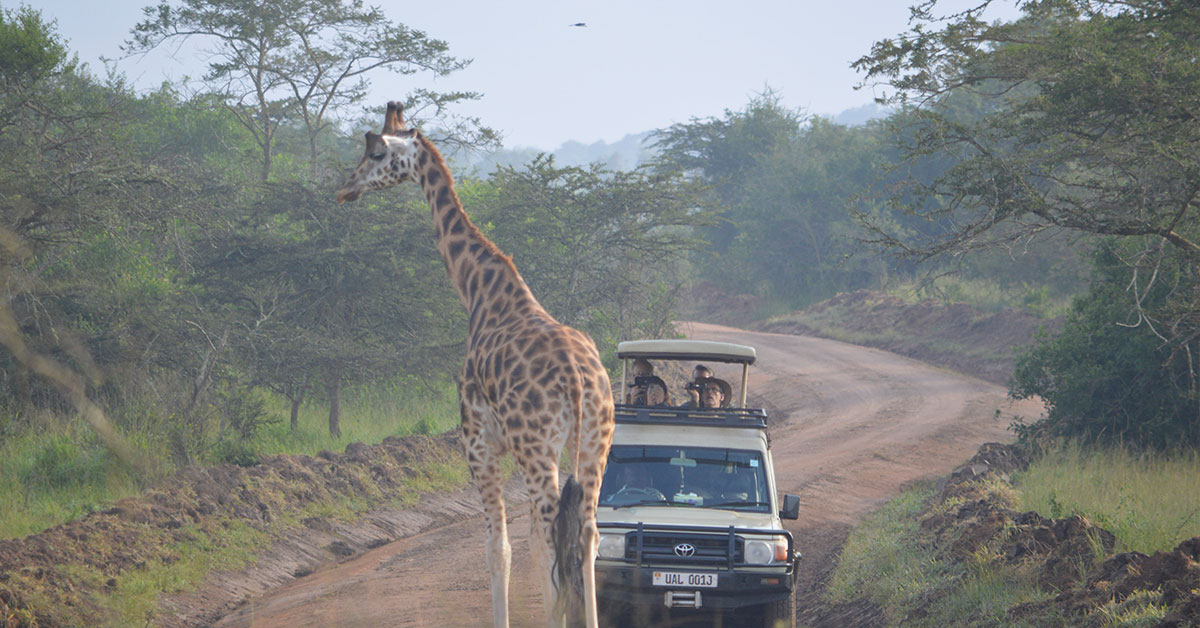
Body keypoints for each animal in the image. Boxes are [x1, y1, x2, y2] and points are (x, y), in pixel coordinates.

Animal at [338, 100, 619, 624]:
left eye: (374, 152)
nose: (346, 187)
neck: (478, 290)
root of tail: (577, 380)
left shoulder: (478, 446)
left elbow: (499, 549)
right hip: (596, 441)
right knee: (587, 534)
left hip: (537, 448)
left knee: (548, 538)